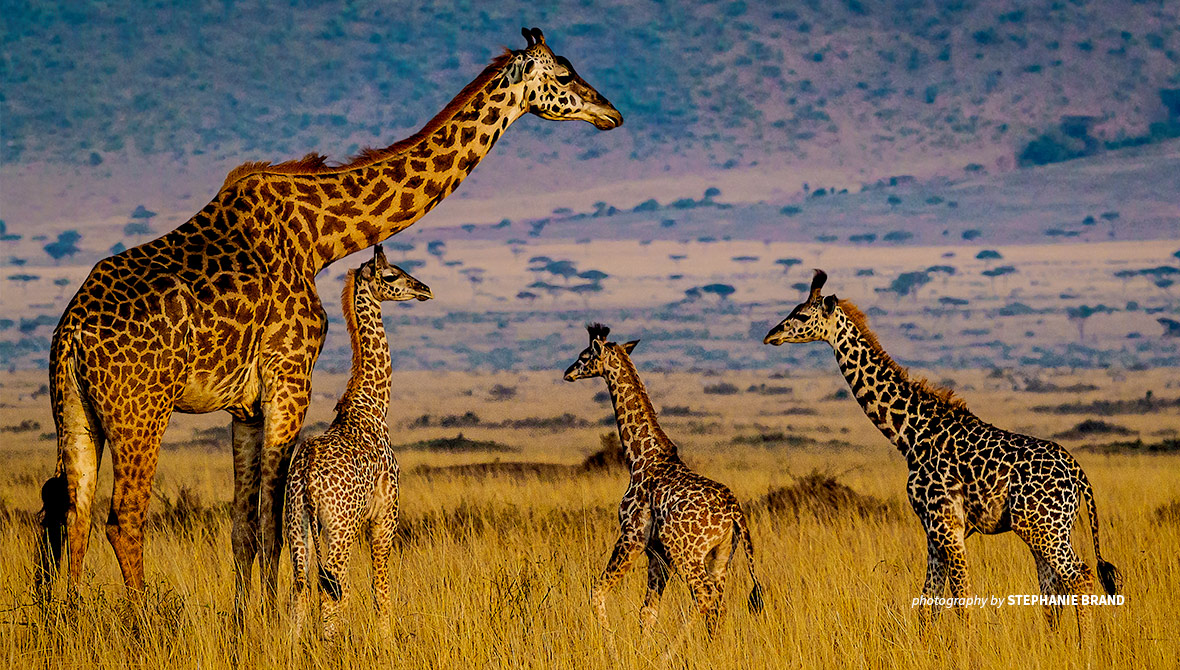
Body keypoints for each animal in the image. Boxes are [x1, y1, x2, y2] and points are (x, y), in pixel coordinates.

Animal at [283, 247, 431, 636]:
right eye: (392, 275)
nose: (425, 289)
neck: (372, 406)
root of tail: (307, 476)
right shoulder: (385, 515)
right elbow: (381, 590)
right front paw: (386, 641)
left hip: (297, 525)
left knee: (300, 590)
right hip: (338, 528)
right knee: (333, 593)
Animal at [561, 327, 764, 641]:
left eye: (584, 356)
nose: (567, 372)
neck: (641, 458)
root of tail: (734, 512)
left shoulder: (632, 536)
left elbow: (596, 592)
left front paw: (610, 641)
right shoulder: (657, 552)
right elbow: (648, 612)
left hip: (686, 552)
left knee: (704, 598)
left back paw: (675, 648)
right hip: (720, 557)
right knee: (717, 605)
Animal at [764, 272, 1123, 641]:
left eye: (801, 315)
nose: (770, 335)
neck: (910, 434)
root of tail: (1078, 472)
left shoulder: (947, 523)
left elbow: (961, 597)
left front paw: (970, 646)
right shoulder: (932, 528)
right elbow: (928, 603)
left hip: (1042, 526)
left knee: (1079, 577)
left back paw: (1085, 645)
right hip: (1051, 527)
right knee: (1053, 589)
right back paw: (1055, 644)